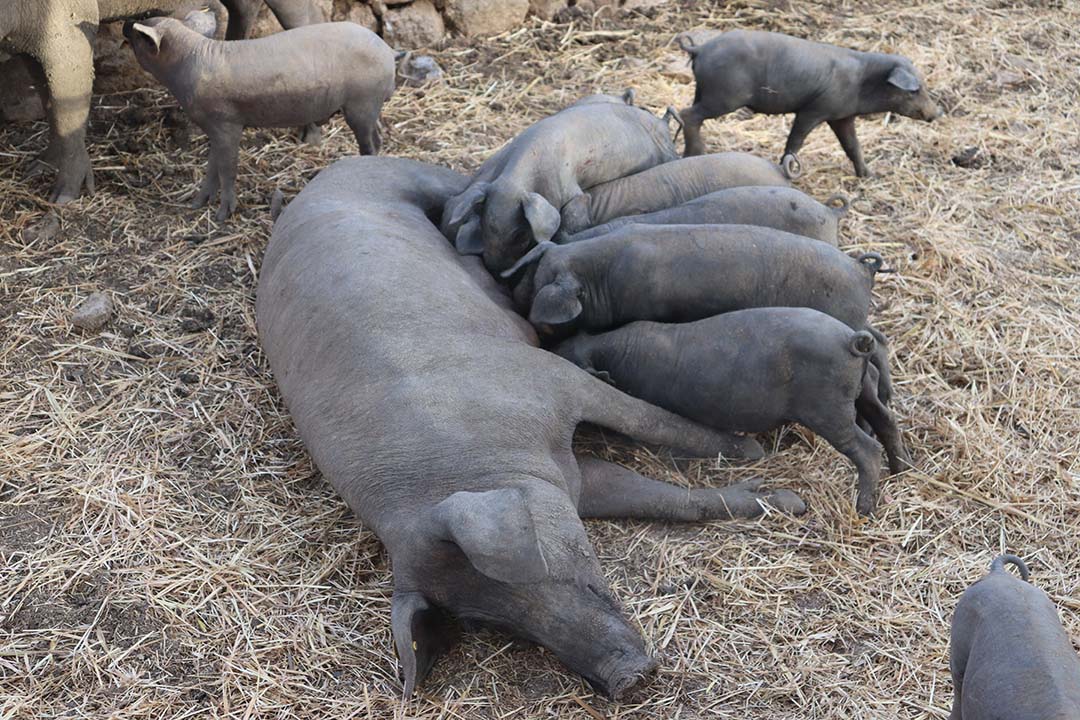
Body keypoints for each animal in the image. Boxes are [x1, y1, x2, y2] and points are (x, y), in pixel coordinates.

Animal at [254, 156, 803, 699]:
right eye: (499, 623)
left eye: (546, 571)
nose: (625, 677)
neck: (466, 464)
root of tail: (332, 172)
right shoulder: (570, 479)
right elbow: (666, 500)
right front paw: (777, 497)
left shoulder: (551, 382)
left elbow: (657, 423)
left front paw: (755, 458)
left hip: (429, 182)